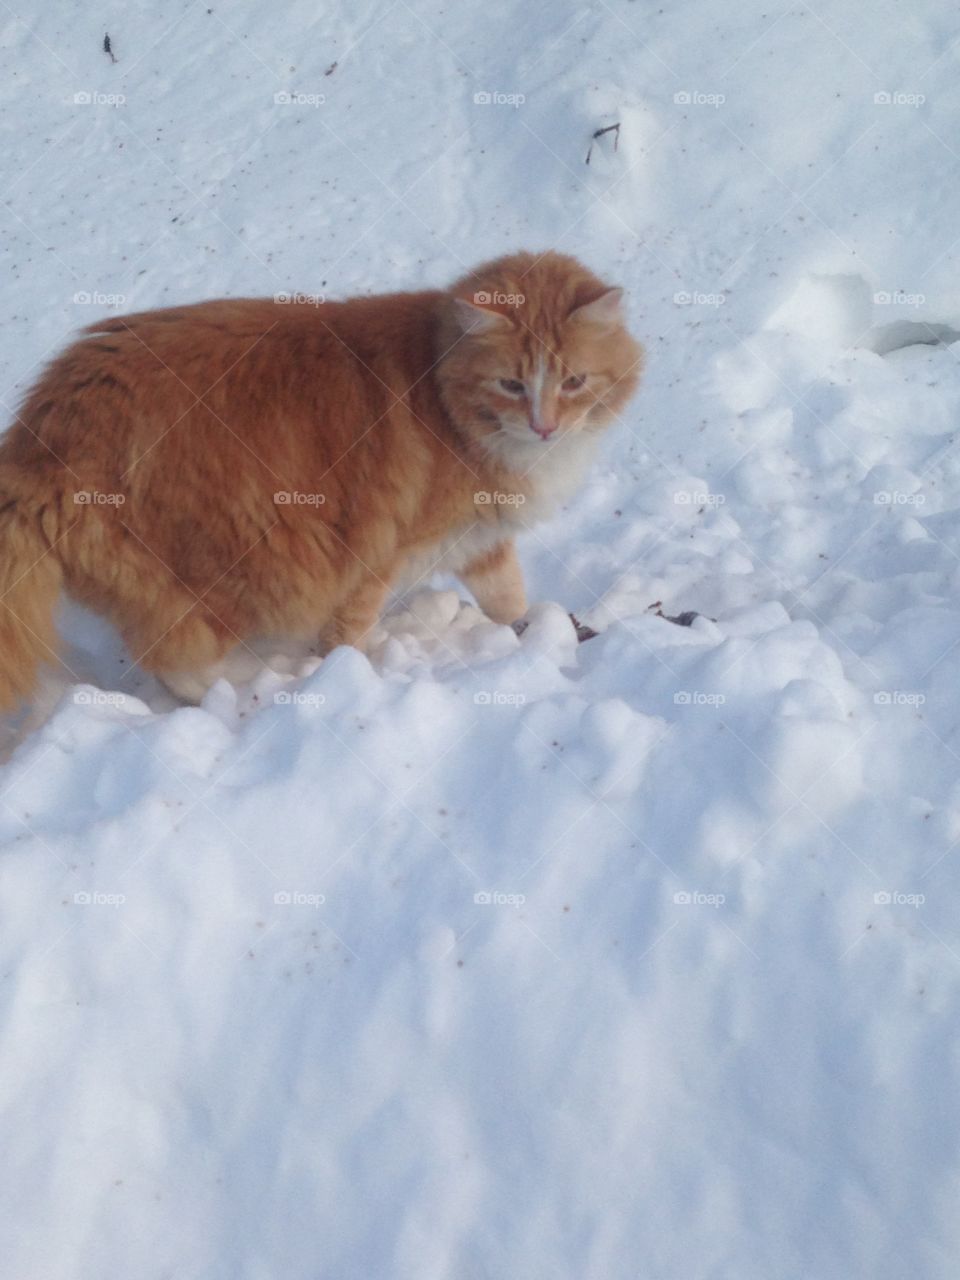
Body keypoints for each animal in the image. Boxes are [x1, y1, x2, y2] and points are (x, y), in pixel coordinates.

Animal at [1, 249, 647, 711]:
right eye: (512, 385)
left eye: (573, 381)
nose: (545, 427)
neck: (444, 393)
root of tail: (41, 441)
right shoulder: (376, 556)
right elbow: (348, 639)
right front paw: (349, 681)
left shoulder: (478, 539)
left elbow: (506, 594)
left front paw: (530, 633)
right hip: (243, 573)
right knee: (177, 664)